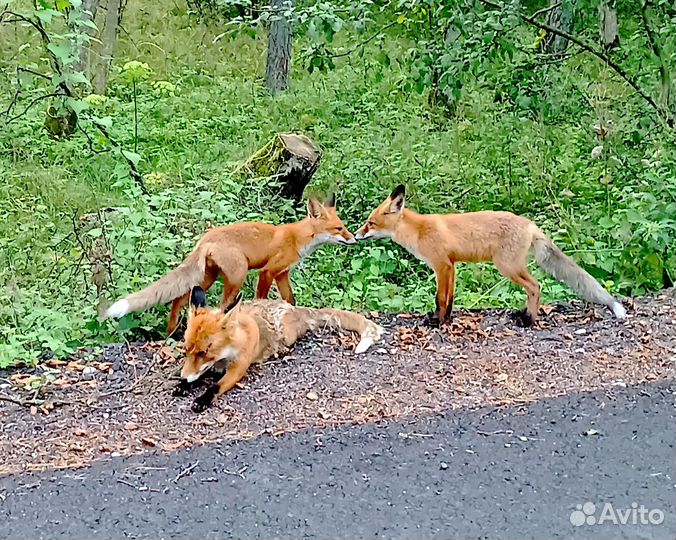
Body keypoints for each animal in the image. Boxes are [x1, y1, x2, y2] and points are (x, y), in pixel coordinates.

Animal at [105, 194, 354, 336]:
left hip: (207, 278)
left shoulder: (282, 273)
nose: (354, 239)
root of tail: (205, 238)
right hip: (238, 276)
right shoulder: (268, 271)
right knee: (222, 305)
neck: (297, 238)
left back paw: (172, 333)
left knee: (179, 299)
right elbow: (262, 297)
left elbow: (290, 300)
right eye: (339, 228)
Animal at [177, 284, 382, 412]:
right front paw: (183, 385)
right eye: (186, 350)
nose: (183, 378)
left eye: (204, 352)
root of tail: (294, 307)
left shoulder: (238, 369)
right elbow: (197, 374)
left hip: (286, 334)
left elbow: (215, 387)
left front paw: (202, 399)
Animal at [356, 186, 624, 326]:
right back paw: (524, 315)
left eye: (370, 223)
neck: (419, 231)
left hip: (507, 266)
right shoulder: (452, 266)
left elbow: (440, 298)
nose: (356, 235)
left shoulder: (442, 265)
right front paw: (447, 319)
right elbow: (449, 298)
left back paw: (529, 320)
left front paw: (438, 322)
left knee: (535, 286)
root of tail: (530, 224)